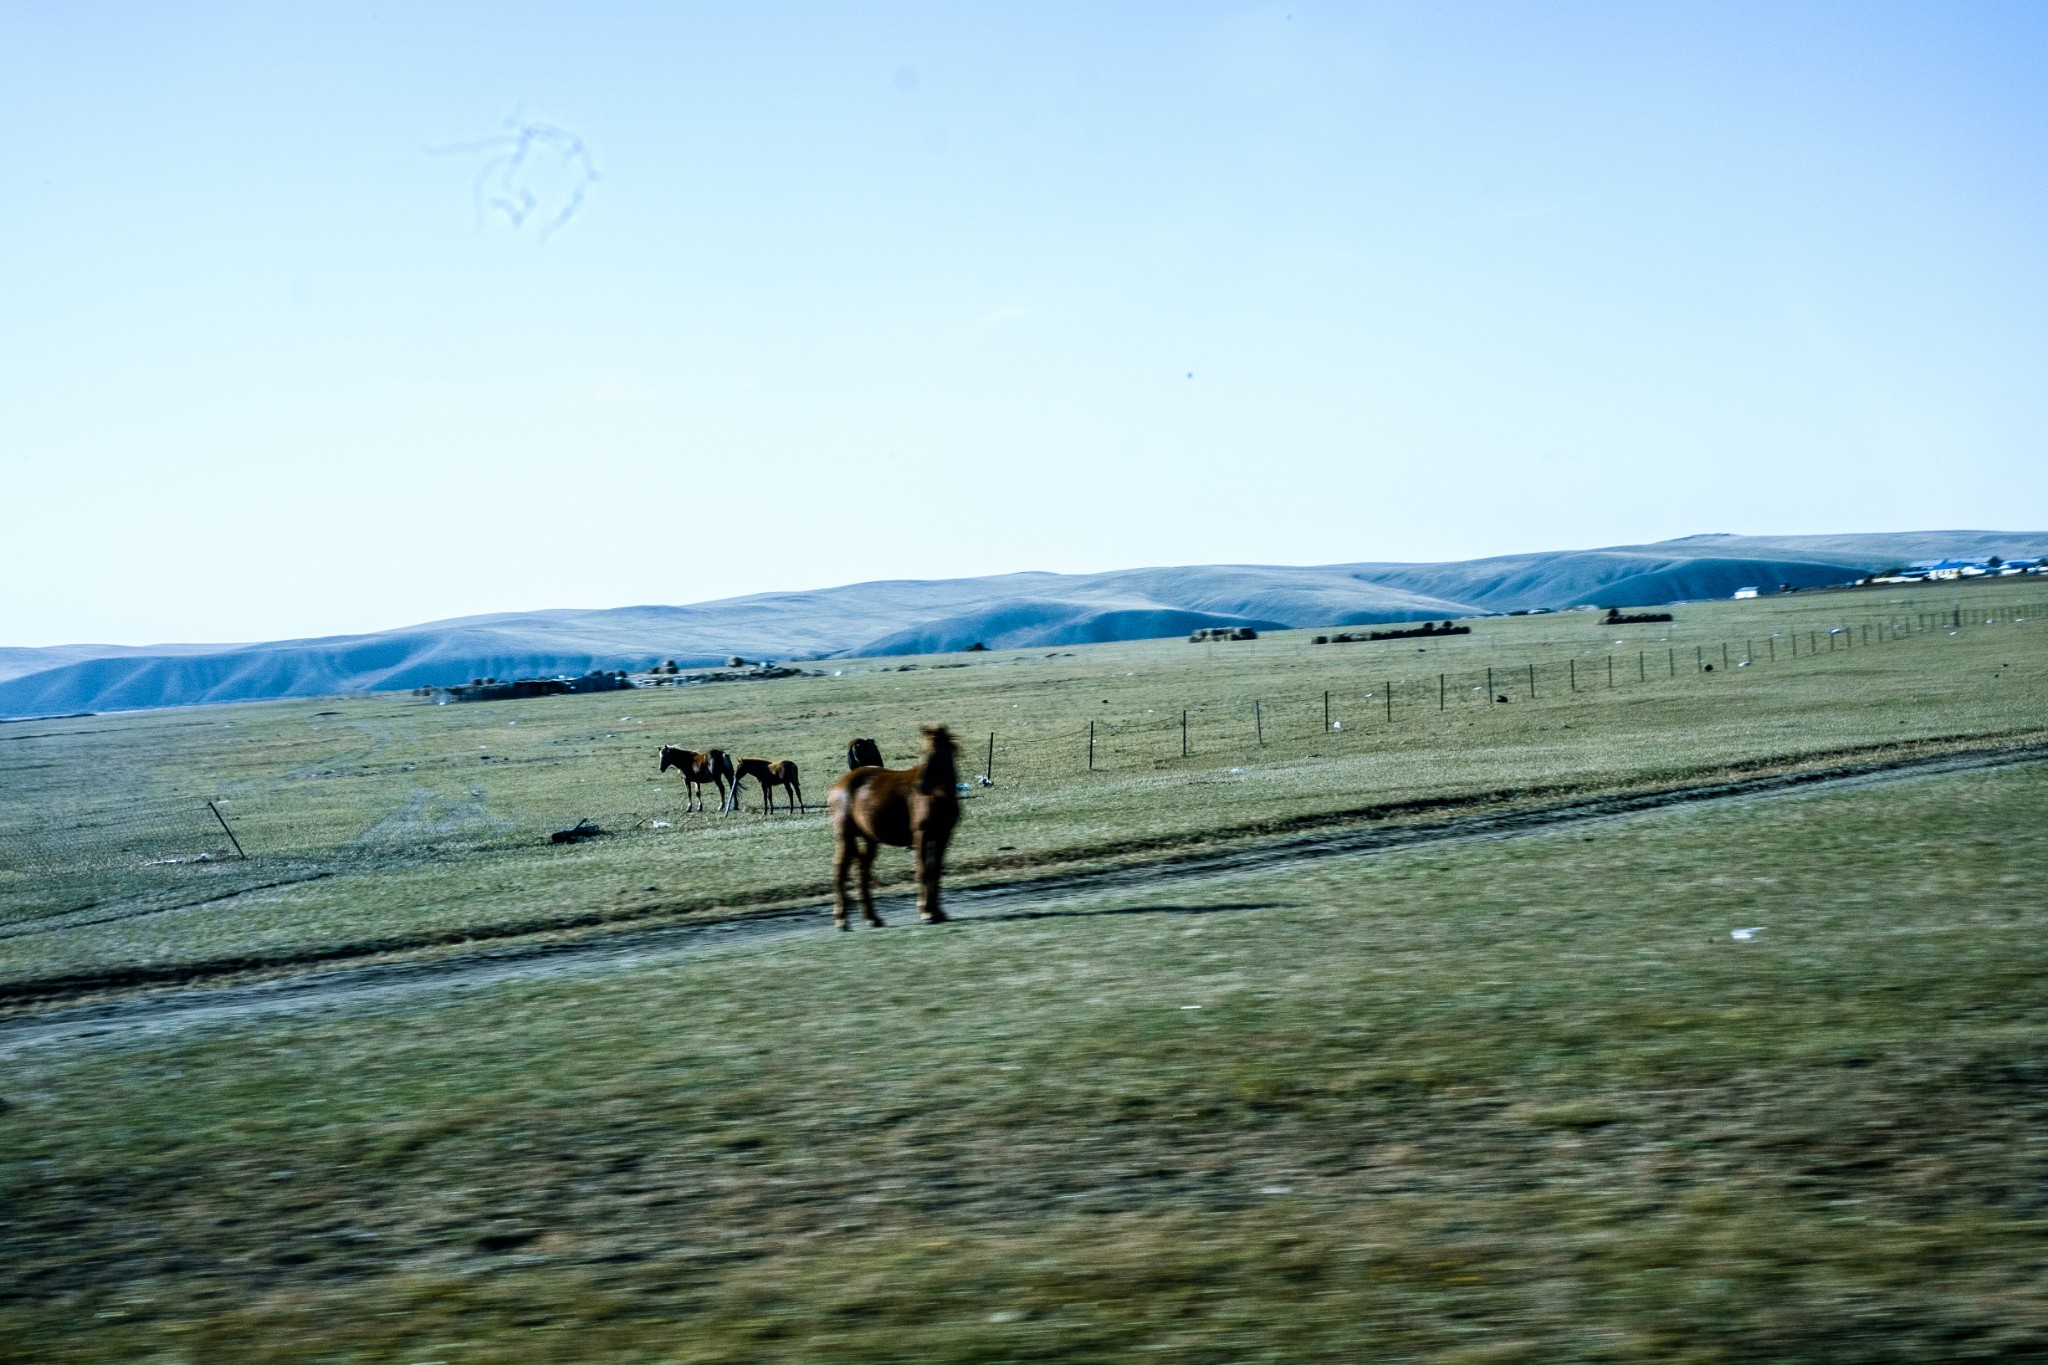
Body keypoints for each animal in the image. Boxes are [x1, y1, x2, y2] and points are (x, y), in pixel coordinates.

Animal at [823, 724, 958, 929]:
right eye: (922, 751)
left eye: (937, 753)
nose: (920, 785)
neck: (937, 794)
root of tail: (839, 785)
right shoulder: (921, 835)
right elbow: (923, 871)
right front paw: (926, 912)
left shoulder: (943, 836)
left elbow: (935, 871)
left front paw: (938, 911)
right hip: (845, 835)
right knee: (840, 870)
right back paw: (841, 920)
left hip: (869, 839)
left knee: (861, 871)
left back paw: (872, 918)